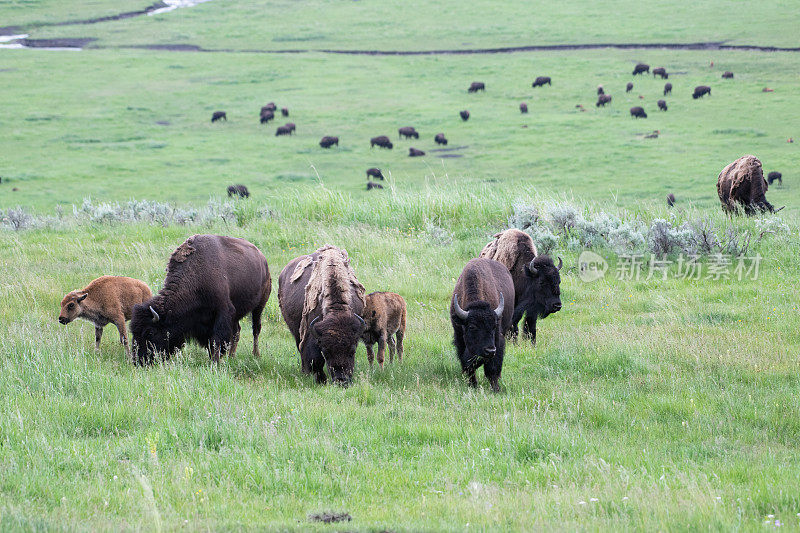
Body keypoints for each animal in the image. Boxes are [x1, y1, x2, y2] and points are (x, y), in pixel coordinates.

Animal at [130, 234, 270, 364]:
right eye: (133, 331)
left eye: (150, 332)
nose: (139, 360)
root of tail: (262, 259)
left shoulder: (223, 311)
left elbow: (216, 340)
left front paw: (215, 362)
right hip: (237, 315)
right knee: (237, 332)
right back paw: (231, 357)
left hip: (260, 306)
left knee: (256, 329)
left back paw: (256, 355)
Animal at [280, 243, 368, 384]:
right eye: (326, 352)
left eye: (352, 351)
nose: (341, 380)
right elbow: (314, 358)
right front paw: (320, 379)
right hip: (296, 331)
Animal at [450, 258, 512, 390]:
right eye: (472, 326)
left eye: (494, 326)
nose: (490, 351)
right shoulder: (459, 338)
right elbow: (467, 363)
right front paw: (472, 384)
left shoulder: (497, 340)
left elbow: (492, 367)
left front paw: (496, 388)